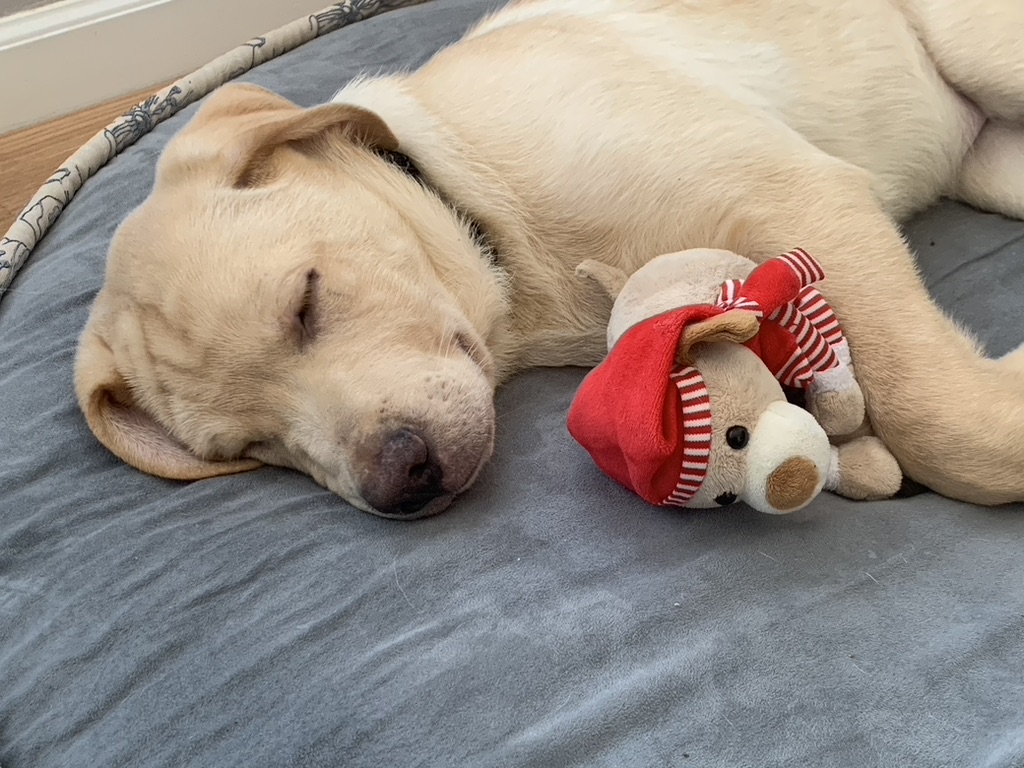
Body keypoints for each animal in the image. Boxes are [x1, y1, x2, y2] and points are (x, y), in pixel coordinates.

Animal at [75, 0, 1024, 520]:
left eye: (305, 301)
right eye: (255, 446)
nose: (401, 484)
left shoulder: (798, 196)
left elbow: (942, 418)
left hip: (984, 53)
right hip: (993, 162)